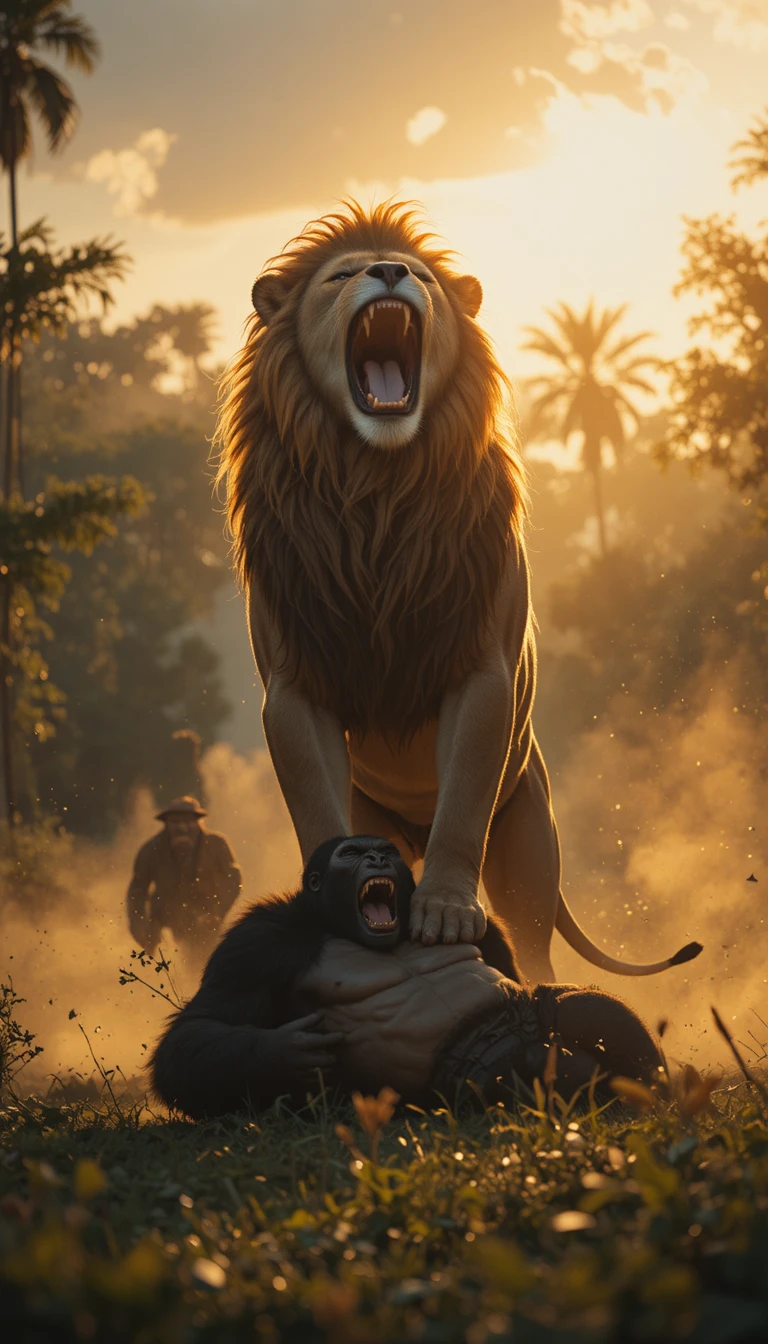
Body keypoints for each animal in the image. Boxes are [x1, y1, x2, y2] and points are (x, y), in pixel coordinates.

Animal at [216, 201, 701, 982]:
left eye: (417, 275)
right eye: (341, 277)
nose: (389, 272)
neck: (377, 488)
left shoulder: (480, 670)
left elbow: (465, 798)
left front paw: (445, 911)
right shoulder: (295, 687)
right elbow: (314, 807)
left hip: (528, 843)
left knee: (532, 947)